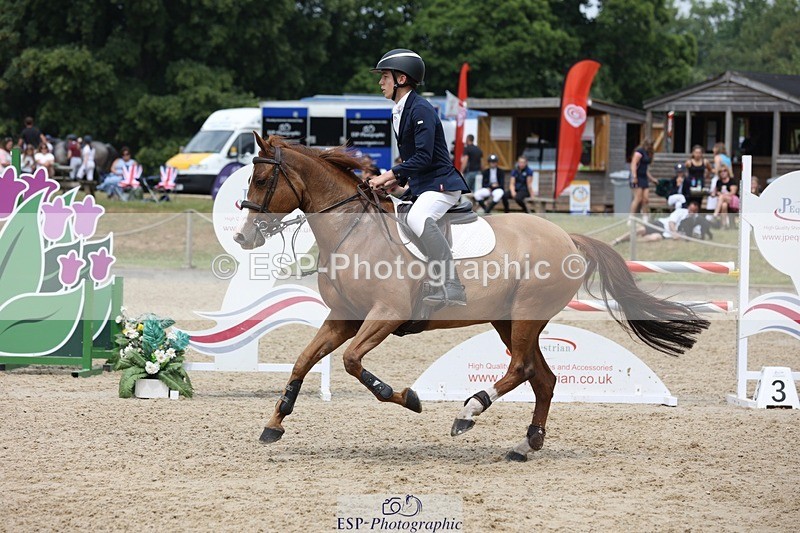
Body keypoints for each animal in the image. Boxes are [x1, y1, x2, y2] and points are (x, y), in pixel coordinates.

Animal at [234, 133, 710, 462]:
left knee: (521, 369)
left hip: (525, 315)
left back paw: (469, 412)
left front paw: (408, 397)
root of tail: (568, 238)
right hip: (509, 321)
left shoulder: (386, 315)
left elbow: (353, 362)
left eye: (261, 178)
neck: (354, 232)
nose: (243, 237)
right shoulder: (343, 317)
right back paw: (525, 444)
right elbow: (302, 360)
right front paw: (274, 423)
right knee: (543, 378)